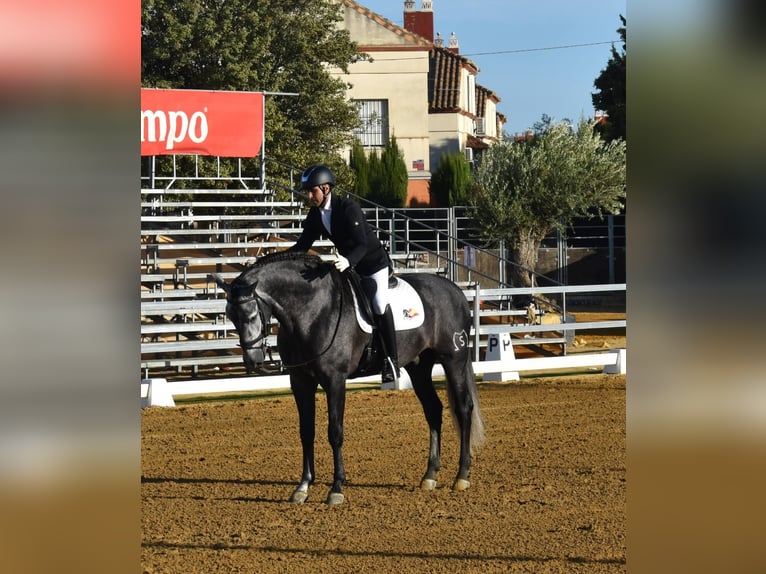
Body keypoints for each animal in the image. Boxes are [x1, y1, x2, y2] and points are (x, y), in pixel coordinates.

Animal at [210, 251, 485, 505]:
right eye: (230, 316)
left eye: (250, 314)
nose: (252, 361)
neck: (310, 312)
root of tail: (455, 290)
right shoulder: (300, 382)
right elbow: (306, 431)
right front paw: (303, 487)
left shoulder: (335, 380)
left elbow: (335, 432)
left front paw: (336, 489)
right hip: (419, 367)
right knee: (433, 410)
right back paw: (429, 475)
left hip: (454, 360)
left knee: (463, 408)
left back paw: (462, 476)